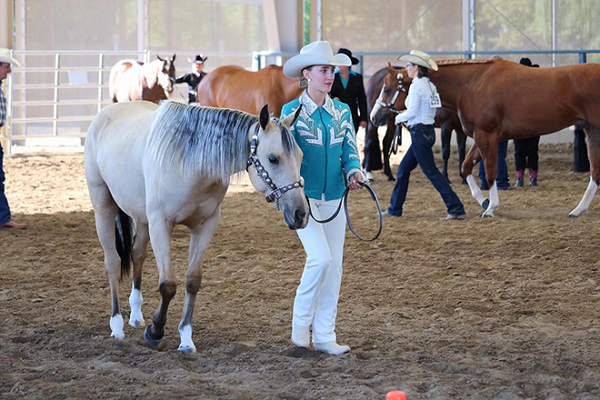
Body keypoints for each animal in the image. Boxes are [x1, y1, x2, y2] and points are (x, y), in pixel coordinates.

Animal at [84, 101, 308, 354]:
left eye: (300, 156)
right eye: (273, 158)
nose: (300, 214)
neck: (191, 162)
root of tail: (106, 112)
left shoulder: (205, 225)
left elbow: (193, 280)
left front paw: (186, 337)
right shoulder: (160, 224)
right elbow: (168, 285)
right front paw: (155, 330)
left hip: (140, 218)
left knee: (137, 254)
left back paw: (136, 316)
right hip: (103, 205)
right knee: (112, 262)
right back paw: (117, 324)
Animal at [372, 61, 600, 219]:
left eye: (387, 89)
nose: (375, 117)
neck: (471, 85)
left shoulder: (486, 136)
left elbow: (490, 173)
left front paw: (490, 208)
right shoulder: (480, 137)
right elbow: (466, 167)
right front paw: (484, 202)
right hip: (592, 131)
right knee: (595, 173)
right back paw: (578, 209)